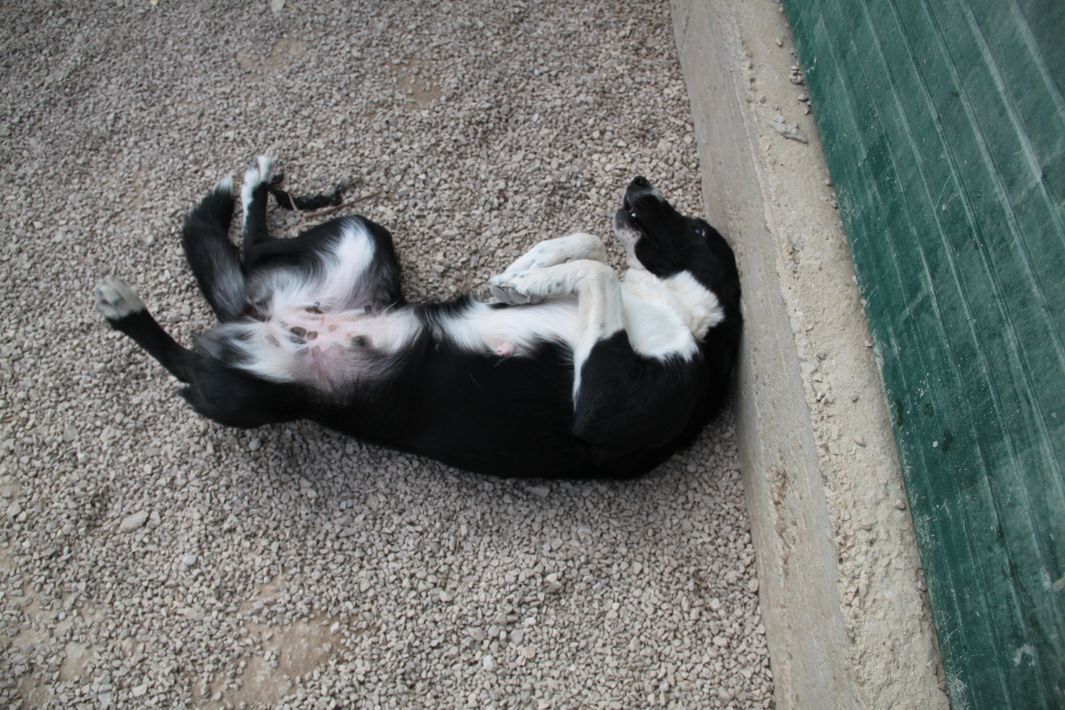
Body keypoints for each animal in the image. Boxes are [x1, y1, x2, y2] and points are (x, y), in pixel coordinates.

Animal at [94, 157, 741, 479]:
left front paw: (530, 280)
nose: (640, 181)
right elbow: (592, 247)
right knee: (252, 252)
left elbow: (600, 270)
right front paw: (523, 274)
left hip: (253, 396)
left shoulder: (604, 408)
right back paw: (257, 184)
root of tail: (261, 318)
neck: (677, 314)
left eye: (697, 229)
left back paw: (125, 305)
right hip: (363, 234)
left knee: (187, 364)